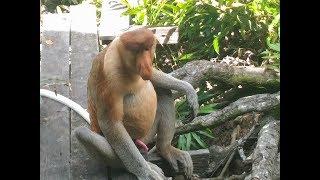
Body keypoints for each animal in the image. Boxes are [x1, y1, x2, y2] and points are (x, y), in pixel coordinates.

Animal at [74, 27, 199, 180]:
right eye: (138, 50)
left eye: (148, 49)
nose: (145, 65)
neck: (121, 57)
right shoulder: (108, 76)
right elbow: (111, 123)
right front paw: (147, 173)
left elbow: (152, 76)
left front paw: (189, 90)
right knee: (84, 134)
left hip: (147, 134)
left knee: (164, 92)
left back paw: (166, 149)